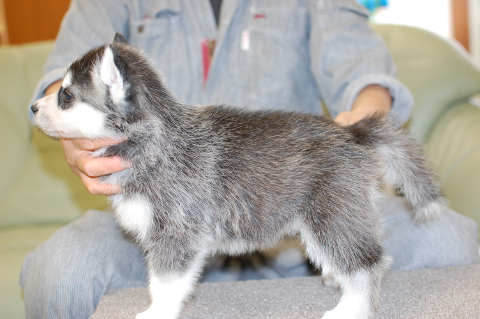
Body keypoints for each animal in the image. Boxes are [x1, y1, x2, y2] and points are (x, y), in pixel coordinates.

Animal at [31, 35, 446, 319]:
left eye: (66, 96)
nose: (33, 106)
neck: (154, 137)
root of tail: (350, 132)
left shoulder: (176, 233)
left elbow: (163, 282)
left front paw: (157, 311)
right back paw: (334, 278)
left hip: (330, 214)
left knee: (367, 263)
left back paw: (352, 307)